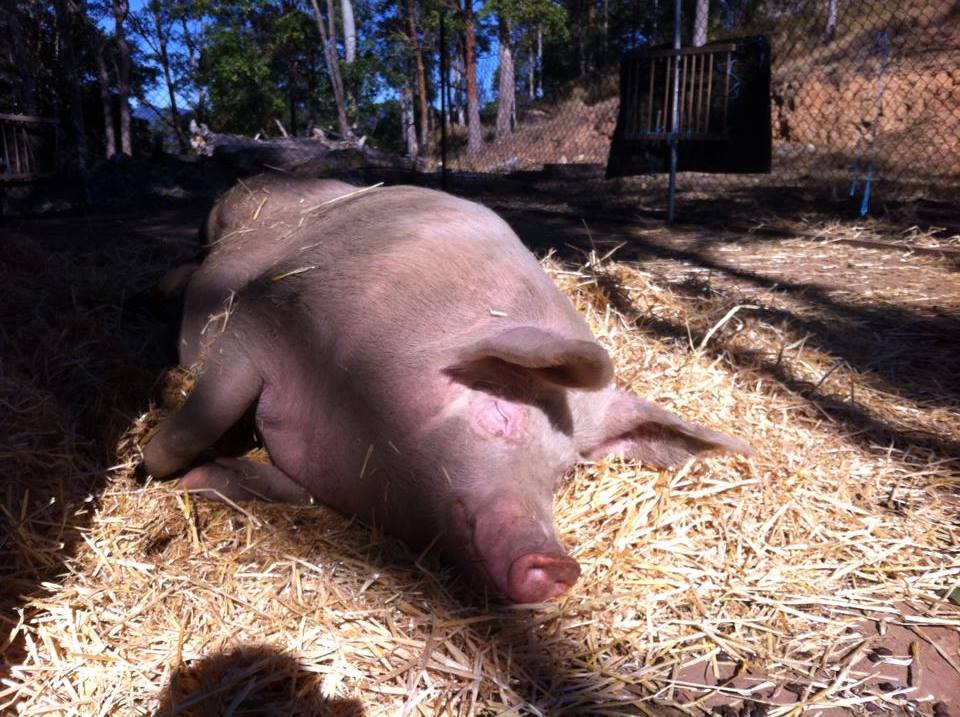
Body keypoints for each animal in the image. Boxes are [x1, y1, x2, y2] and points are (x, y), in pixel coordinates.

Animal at [141, 175, 752, 604]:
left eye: (563, 471)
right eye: (499, 413)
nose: (559, 566)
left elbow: (288, 490)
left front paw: (202, 479)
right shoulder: (257, 325)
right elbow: (200, 419)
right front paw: (153, 467)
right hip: (221, 227)